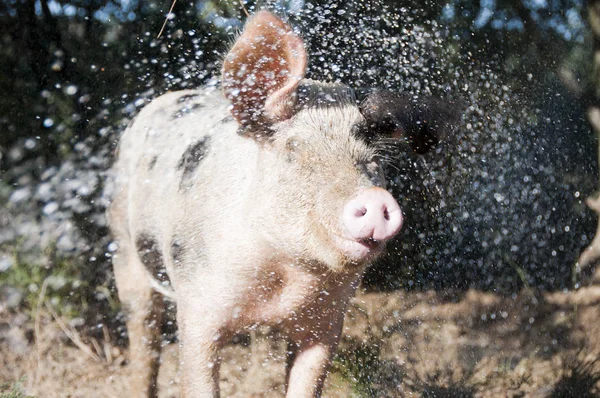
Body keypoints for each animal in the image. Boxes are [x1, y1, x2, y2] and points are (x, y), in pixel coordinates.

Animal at [109, 10, 454, 398]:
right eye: (293, 149)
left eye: (372, 160)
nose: (375, 198)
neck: (282, 279)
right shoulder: (197, 305)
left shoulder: (326, 321)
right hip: (123, 246)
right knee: (144, 338)